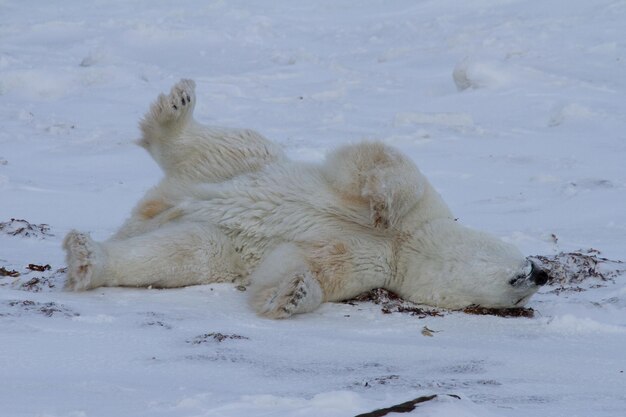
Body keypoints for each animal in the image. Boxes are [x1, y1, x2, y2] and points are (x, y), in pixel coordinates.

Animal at [61, 79, 544, 318]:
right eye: (521, 278)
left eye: (518, 300)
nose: (541, 273)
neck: (404, 245)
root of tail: (166, 197)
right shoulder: (419, 207)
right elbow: (381, 163)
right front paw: (382, 204)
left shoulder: (370, 265)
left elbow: (304, 265)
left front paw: (292, 295)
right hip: (249, 164)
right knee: (227, 146)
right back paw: (178, 109)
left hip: (212, 236)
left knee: (180, 253)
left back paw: (89, 260)